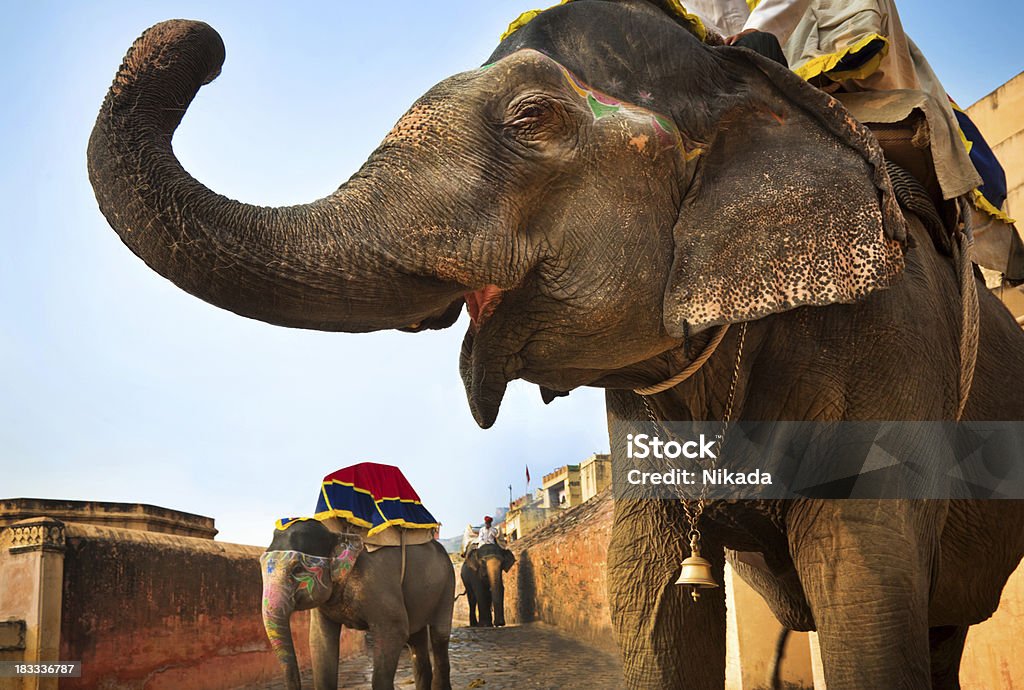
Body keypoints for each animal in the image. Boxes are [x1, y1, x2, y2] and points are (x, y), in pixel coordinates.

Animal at [262, 518, 454, 687]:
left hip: (447, 585)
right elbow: (319, 640)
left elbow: (397, 630)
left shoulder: (375, 582)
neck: (336, 533)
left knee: (439, 636)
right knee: (417, 640)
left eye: (297, 569)